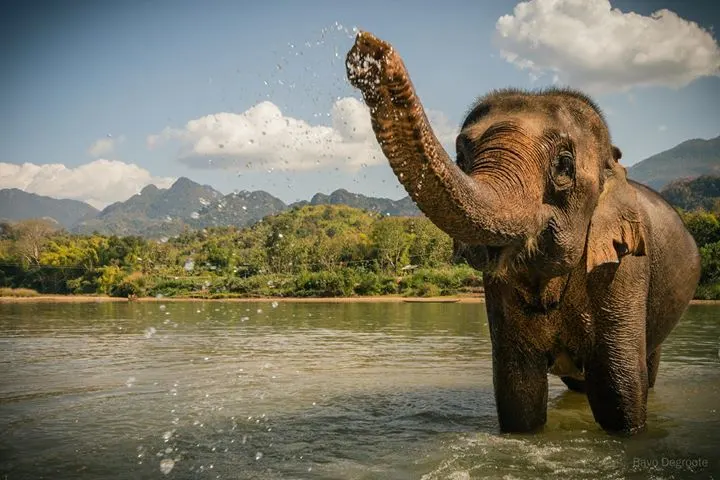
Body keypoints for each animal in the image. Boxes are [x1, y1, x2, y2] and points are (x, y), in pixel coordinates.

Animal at [346, 32, 701, 435]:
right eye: (461, 157)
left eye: (564, 165)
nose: (367, 49)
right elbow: (518, 389)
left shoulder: (623, 269)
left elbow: (619, 388)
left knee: (646, 369)